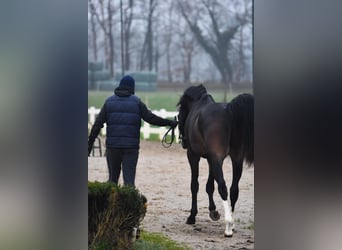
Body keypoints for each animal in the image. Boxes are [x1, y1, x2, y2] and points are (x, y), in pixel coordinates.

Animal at [178, 84, 252, 236]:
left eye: (181, 108)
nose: (183, 142)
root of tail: (228, 112)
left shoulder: (193, 156)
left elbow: (195, 185)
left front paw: (192, 216)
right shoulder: (213, 159)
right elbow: (209, 186)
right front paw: (213, 212)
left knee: (223, 187)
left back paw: (228, 226)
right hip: (236, 159)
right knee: (234, 189)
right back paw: (232, 223)